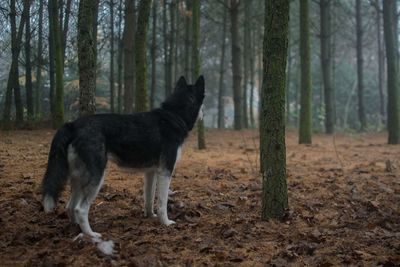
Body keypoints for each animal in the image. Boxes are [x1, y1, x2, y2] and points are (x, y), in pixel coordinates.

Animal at [41, 75, 205, 239]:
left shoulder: (151, 172)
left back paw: (76, 230)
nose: (203, 116)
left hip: (79, 178)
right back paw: (91, 235)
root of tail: (73, 124)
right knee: (80, 209)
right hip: (96, 178)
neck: (175, 115)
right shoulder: (165, 172)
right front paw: (165, 223)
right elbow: (162, 203)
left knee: (70, 206)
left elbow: (149, 198)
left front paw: (150, 216)